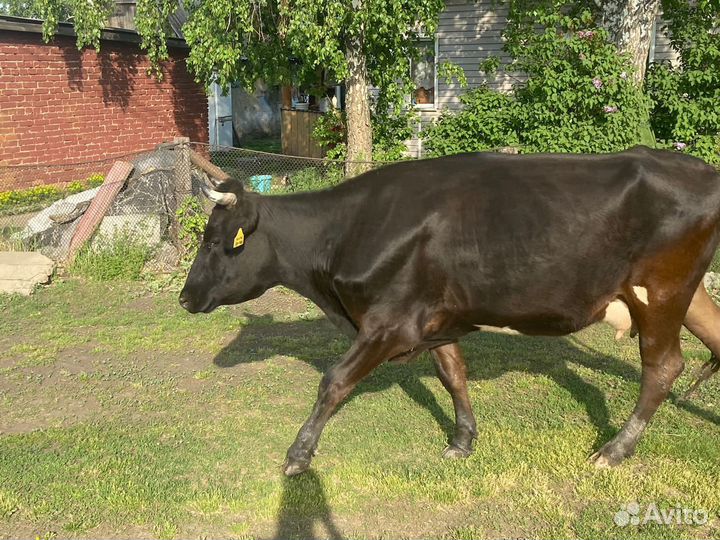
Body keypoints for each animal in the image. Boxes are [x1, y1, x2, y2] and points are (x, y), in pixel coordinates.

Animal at [179, 146, 720, 476]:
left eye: (214, 242)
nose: (184, 298)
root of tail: (702, 169)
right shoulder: (434, 318)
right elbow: (452, 374)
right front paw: (463, 440)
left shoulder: (389, 323)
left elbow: (334, 382)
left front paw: (298, 454)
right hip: (686, 294)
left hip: (661, 292)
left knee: (663, 367)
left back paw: (614, 450)